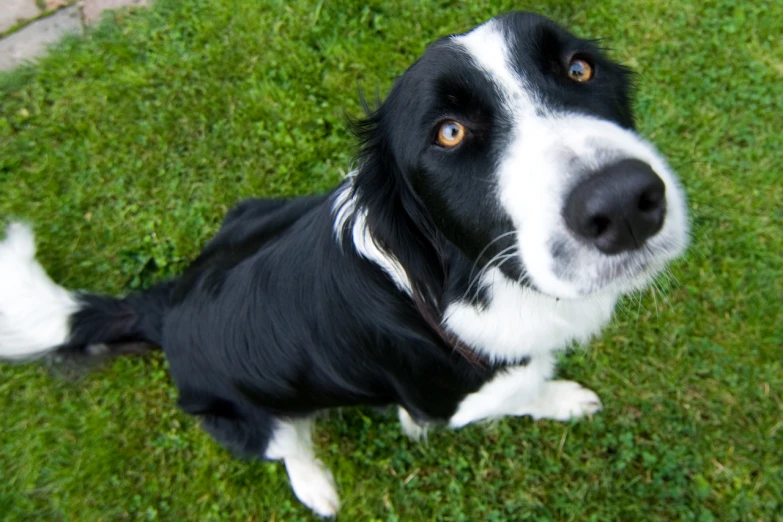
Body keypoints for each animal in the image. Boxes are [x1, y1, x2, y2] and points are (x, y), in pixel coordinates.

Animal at [0, 11, 688, 516]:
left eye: (579, 67)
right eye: (449, 133)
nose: (624, 203)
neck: (470, 278)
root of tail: (166, 308)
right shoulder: (452, 401)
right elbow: (524, 390)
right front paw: (560, 398)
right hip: (243, 417)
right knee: (288, 447)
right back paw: (316, 487)